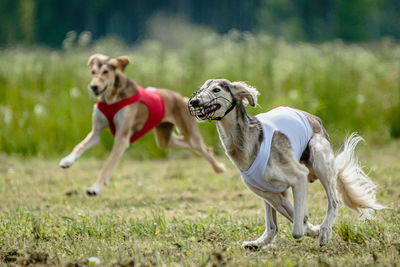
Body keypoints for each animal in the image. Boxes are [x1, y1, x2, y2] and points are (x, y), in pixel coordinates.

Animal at [61, 55, 227, 197]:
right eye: (93, 72)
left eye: (106, 72)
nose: (94, 87)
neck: (111, 99)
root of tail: (182, 98)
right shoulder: (96, 132)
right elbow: (80, 145)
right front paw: (67, 161)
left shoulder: (122, 139)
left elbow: (108, 164)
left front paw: (95, 188)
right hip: (164, 138)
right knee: (184, 144)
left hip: (189, 132)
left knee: (205, 149)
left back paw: (219, 168)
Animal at [189, 78, 386, 250]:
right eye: (201, 88)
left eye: (216, 89)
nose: (193, 101)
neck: (248, 142)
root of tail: (314, 118)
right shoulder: (266, 191)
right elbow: (279, 221)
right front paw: (308, 229)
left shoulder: (298, 178)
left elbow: (298, 229)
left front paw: (315, 230)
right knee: (272, 227)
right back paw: (258, 243)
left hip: (318, 155)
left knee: (334, 201)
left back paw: (324, 231)